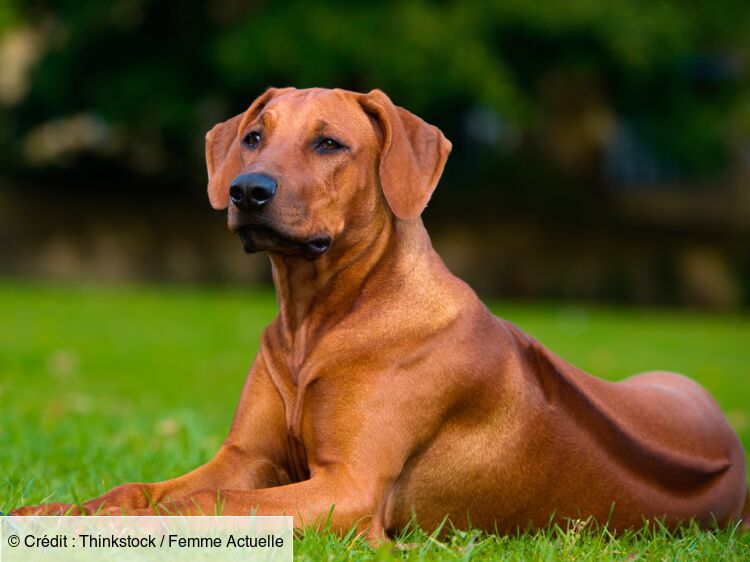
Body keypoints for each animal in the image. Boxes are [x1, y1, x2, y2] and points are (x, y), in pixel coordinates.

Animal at [13, 86, 750, 532]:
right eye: (253, 137)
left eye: (329, 143)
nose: (248, 190)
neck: (317, 320)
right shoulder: (245, 455)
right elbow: (145, 488)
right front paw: (61, 508)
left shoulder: (349, 489)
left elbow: (207, 501)